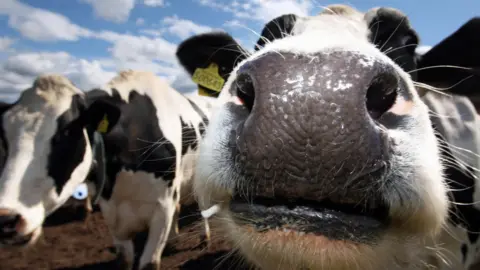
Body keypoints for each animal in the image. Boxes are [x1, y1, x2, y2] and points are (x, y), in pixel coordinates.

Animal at [0, 70, 214, 270]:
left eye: (66, 132)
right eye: (5, 137)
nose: (6, 218)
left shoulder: (162, 207)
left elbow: (149, 263)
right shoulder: (112, 211)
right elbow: (124, 259)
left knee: (202, 206)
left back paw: (205, 237)